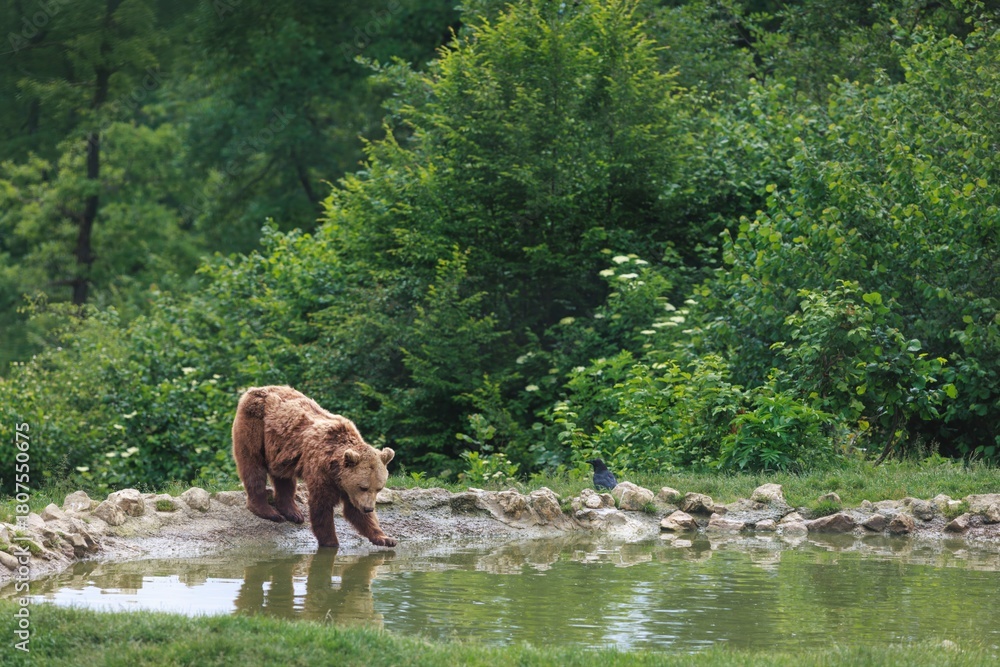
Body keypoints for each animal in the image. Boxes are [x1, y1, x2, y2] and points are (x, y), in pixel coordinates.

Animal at [231, 385, 396, 548]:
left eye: (379, 488)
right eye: (363, 487)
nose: (369, 508)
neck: (335, 470)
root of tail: (254, 389)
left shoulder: (349, 488)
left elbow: (355, 511)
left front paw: (385, 538)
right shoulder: (321, 469)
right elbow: (321, 505)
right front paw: (331, 542)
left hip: (281, 450)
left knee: (283, 477)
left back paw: (293, 512)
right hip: (254, 425)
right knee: (253, 465)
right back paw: (268, 511)